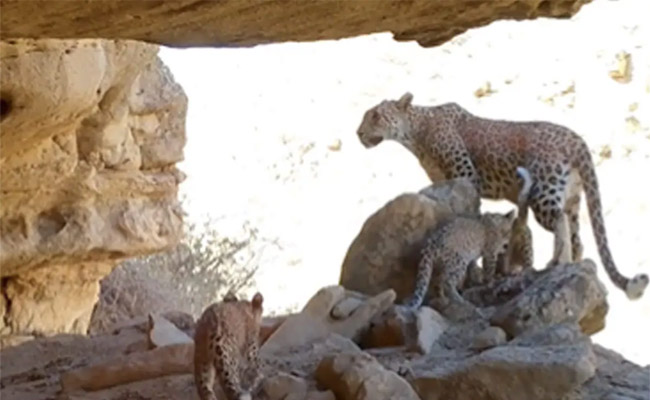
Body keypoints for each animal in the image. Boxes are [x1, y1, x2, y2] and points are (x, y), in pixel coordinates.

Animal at [356, 92, 648, 300]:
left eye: (376, 116)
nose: (358, 133)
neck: (415, 132)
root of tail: (576, 138)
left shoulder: (466, 174)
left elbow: (472, 215)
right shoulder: (445, 180)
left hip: (544, 190)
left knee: (560, 222)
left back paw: (556, 264)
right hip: (572, 196)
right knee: (577, 236)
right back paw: (573, 266)